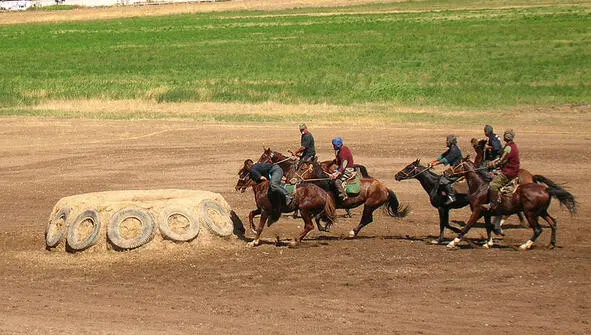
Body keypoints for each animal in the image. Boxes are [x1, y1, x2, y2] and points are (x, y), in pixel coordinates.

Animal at [446, 159, 576, 251]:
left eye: (456, 164)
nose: (445, 172)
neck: (480, 187)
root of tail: (546, 189)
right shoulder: (486, 212)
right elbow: (488, 227)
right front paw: (488, 243)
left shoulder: (477, 211)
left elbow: (467, 226)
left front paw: (453, 243)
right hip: (541, 211)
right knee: (553, 223)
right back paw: (551, 244)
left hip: (530, 213)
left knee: (538, 229)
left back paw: (525, 245)